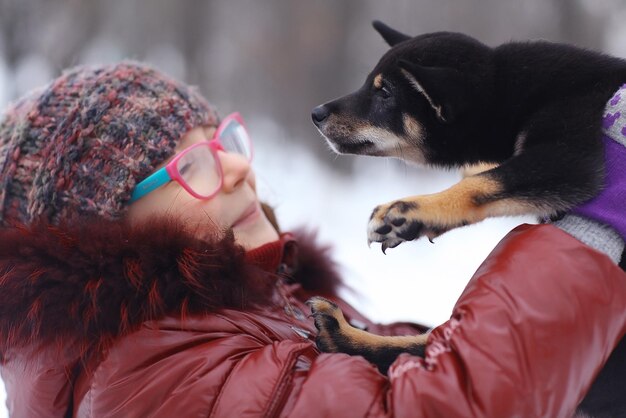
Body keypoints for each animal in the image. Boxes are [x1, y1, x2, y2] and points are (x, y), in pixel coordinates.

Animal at [308, 22, 624, 418]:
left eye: (385, 93)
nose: (316, 113)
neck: (507, 91)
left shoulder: (570, 156)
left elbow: (485, 181)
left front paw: (409, 210)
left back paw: (343, 334)